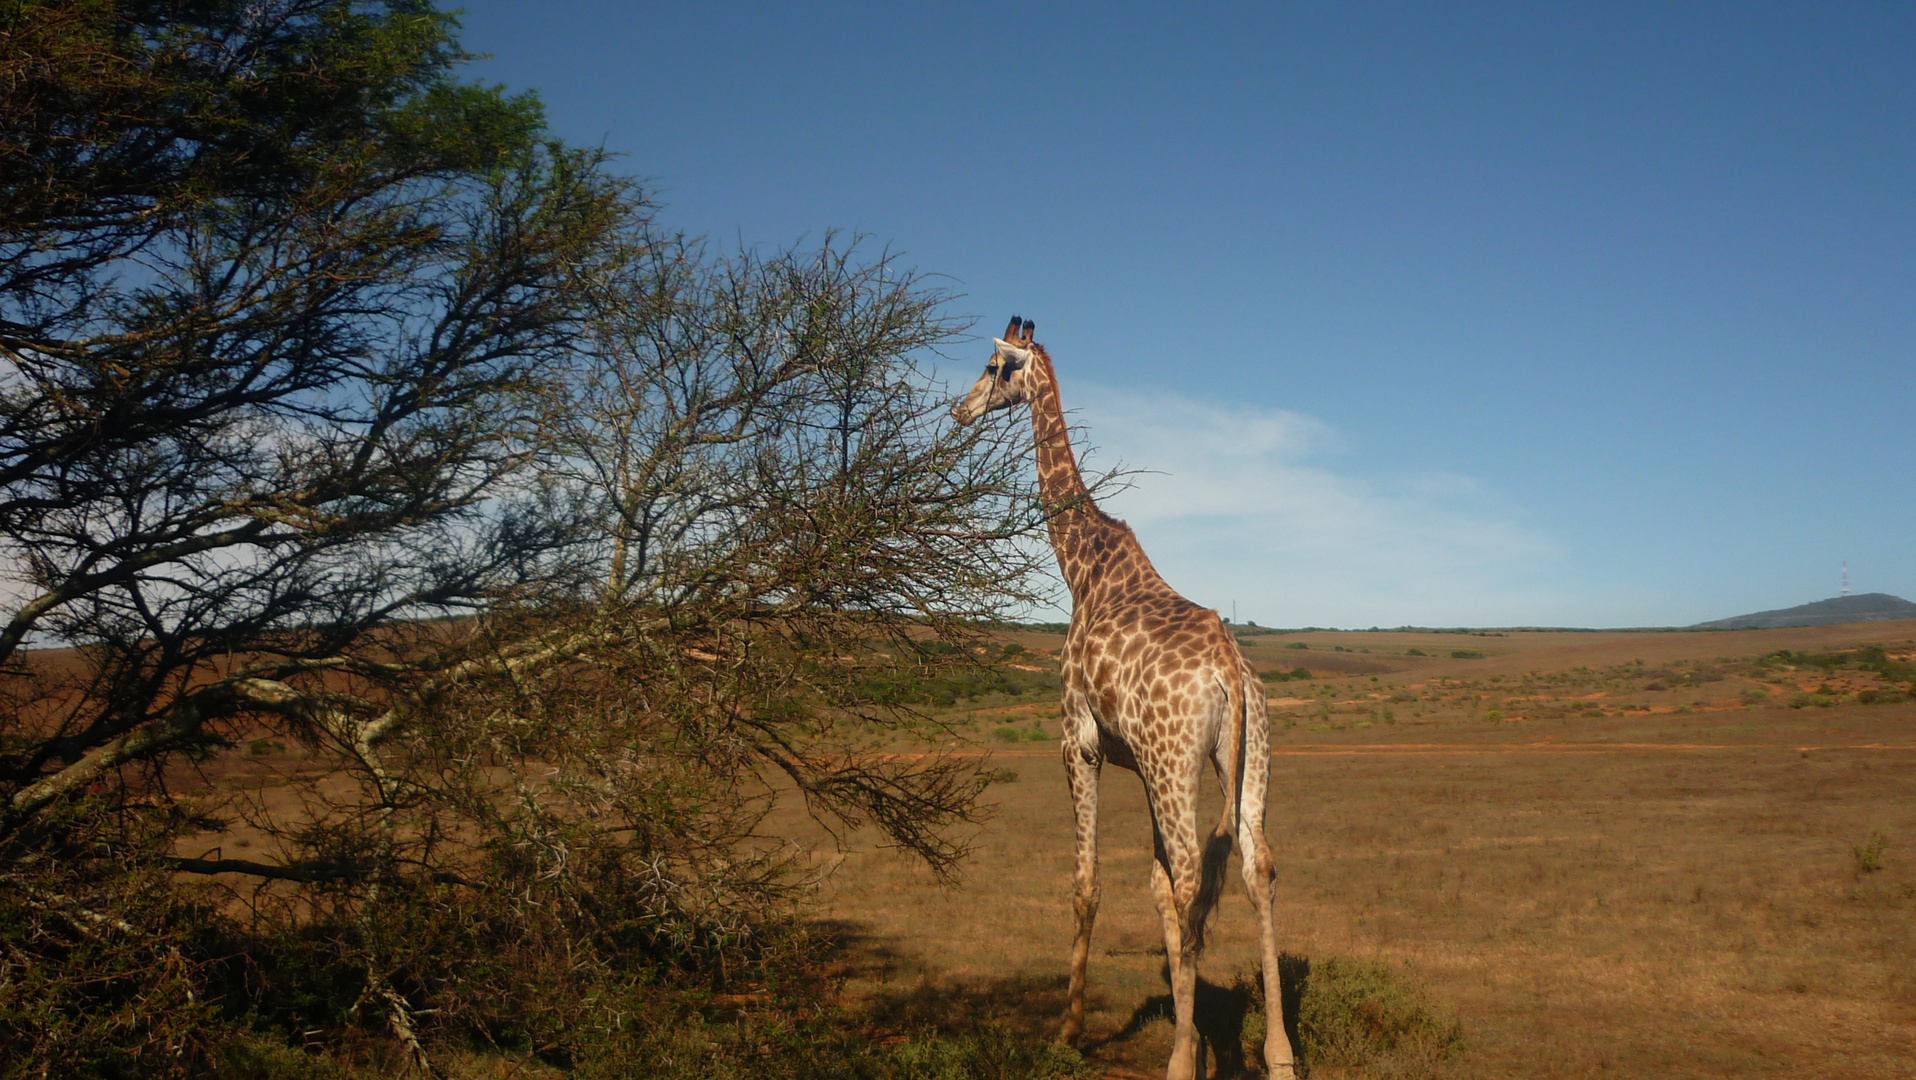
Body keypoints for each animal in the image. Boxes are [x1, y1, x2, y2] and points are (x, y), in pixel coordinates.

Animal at [954, 315, 1295, 1072]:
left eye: (993, 367)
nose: (959, 410)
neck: (1080, 567)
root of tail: (1231, 670)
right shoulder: (1136, 761)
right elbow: (1157, 888)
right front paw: (1185, 1021)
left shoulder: (1076, 741)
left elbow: (1090, 885)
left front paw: (1070, 1030)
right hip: (1243, 756)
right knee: (1255, 866)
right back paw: (1281, 1056)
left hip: (1176, 762)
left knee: (1198, 873)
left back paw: (1177, 1065)